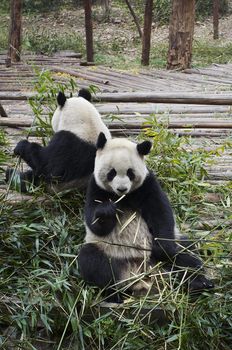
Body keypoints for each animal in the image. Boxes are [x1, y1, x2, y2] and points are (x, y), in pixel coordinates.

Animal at [78, 133, 214, 302]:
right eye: (112, 173)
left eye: (130, 173)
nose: (121, 188)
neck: (123, 197)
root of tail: (142, 272)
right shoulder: (95, 187)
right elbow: (94, 222)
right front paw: (107, 211)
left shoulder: (147, 184)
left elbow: (160, 212)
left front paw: (162, 249)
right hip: (109, 252)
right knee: (92, 262)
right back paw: (114, 294)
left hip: (170, 247)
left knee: (186, 253)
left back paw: (198, 282)